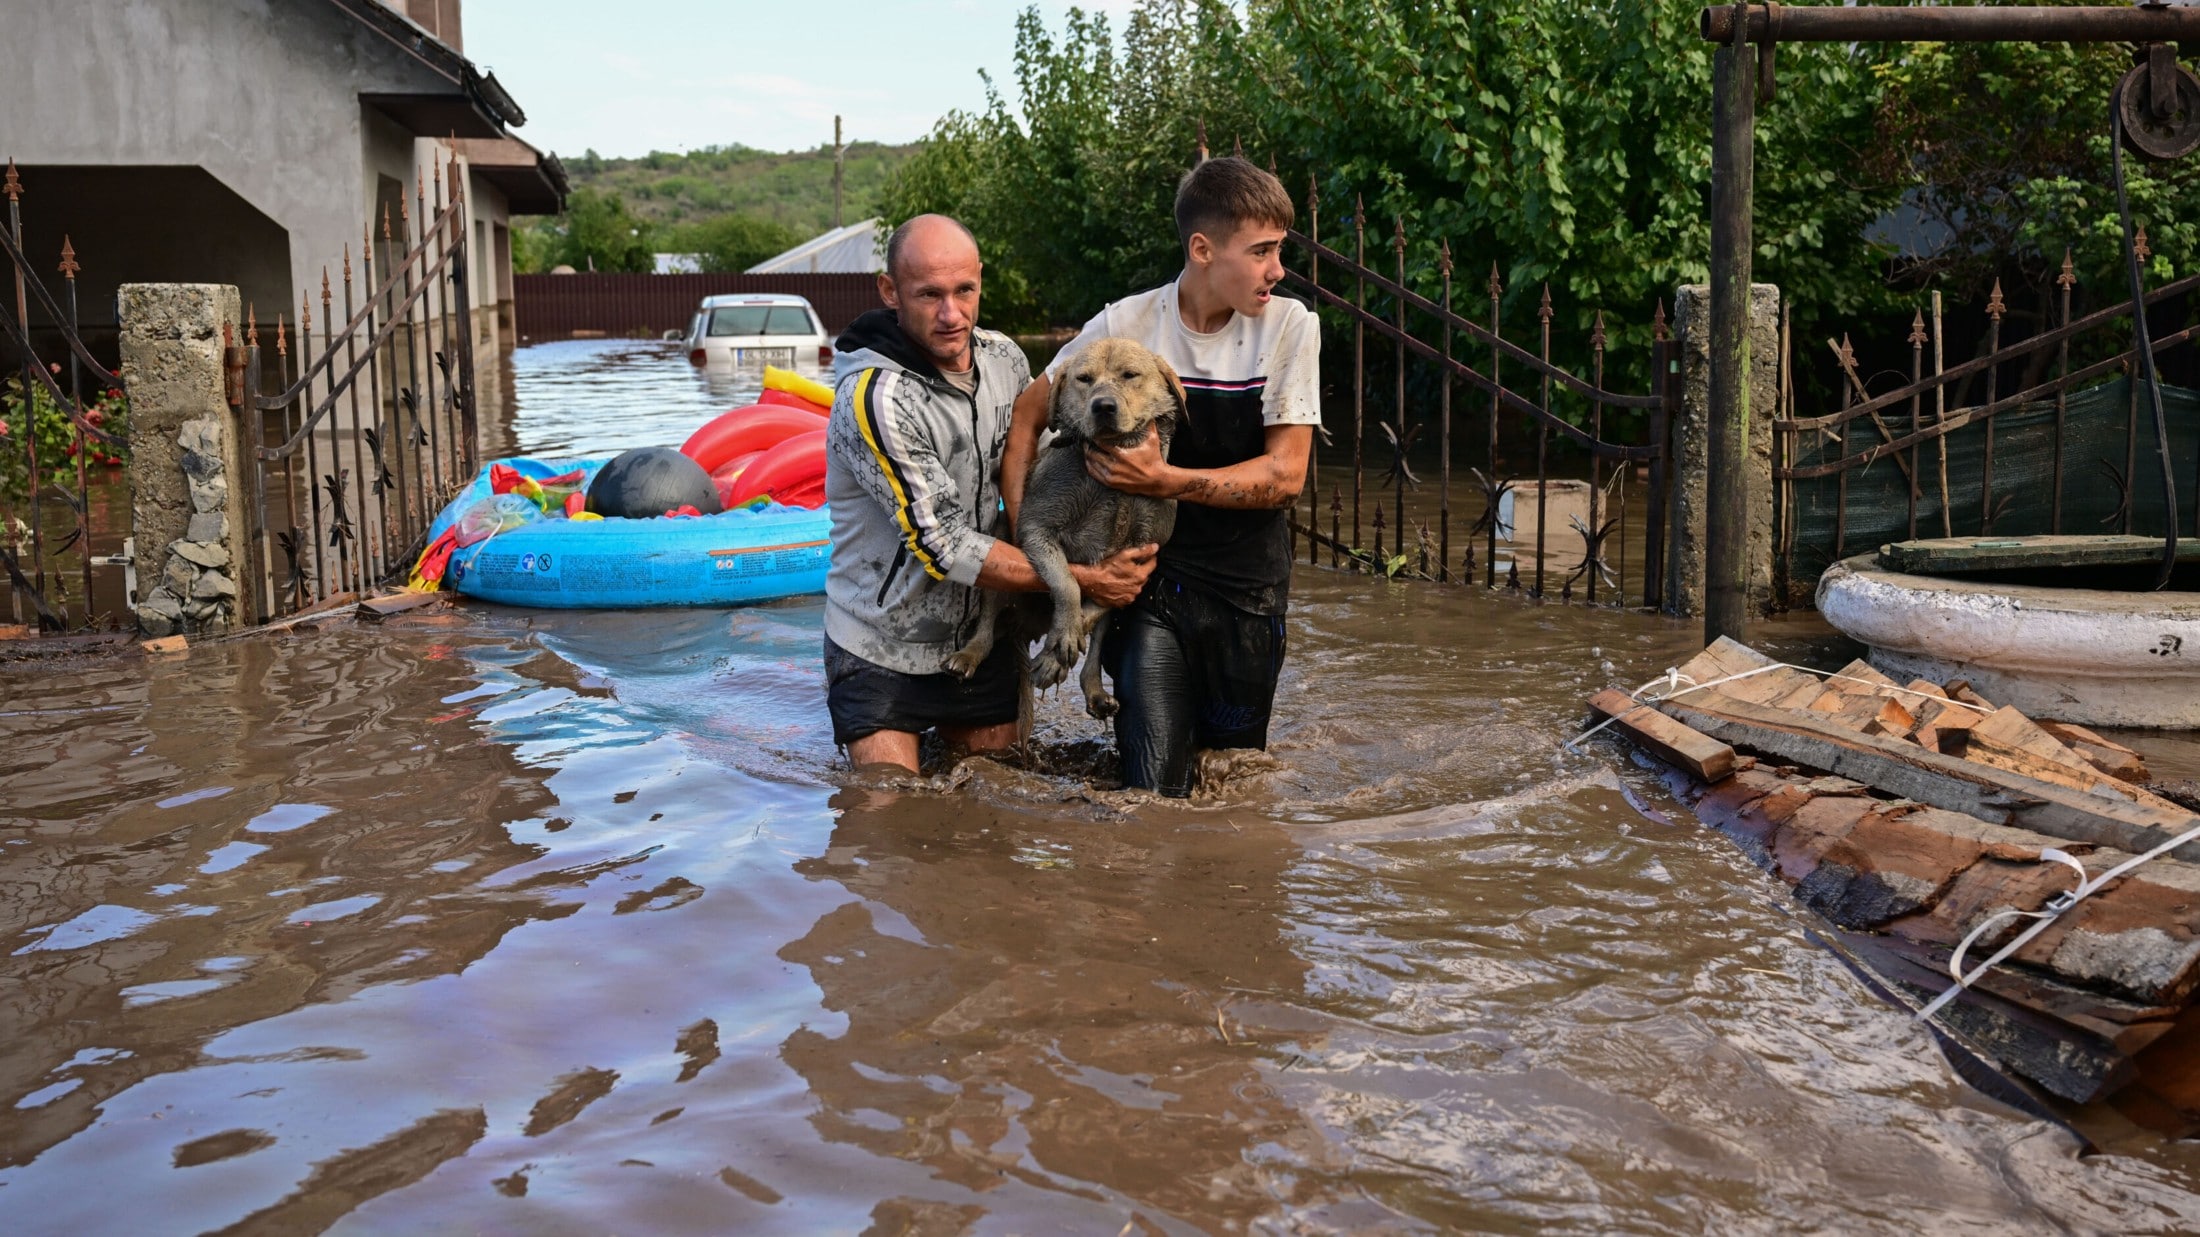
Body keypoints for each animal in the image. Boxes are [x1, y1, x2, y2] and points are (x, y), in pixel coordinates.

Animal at [946, 336, 1188, 717]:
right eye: (1084, 379)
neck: (1112, 482)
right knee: (987, 619)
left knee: (1097, 647)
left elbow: (1093, 612)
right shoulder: (1036, 529)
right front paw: (1061, 641)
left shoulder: (1139, 563)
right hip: (997, 547)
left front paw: (1054, 657)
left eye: (1129, 375)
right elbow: (1067, 584)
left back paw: (1095, 690)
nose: (1103, 406)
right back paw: (969, 655)